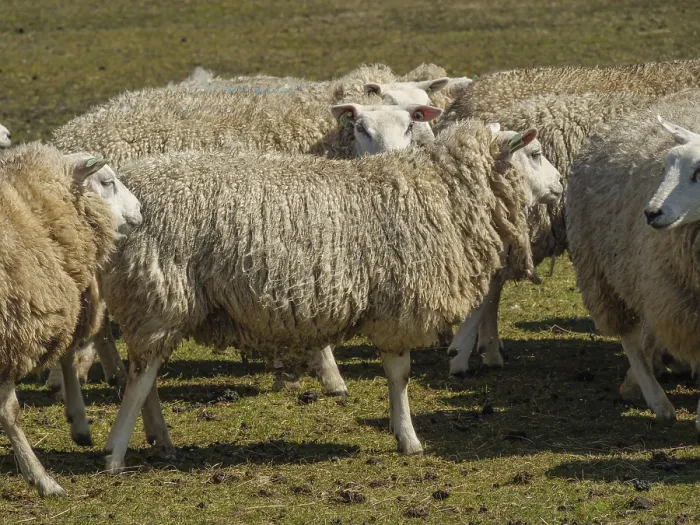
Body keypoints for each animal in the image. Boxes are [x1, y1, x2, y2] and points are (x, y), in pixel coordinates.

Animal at [95, 118, 561, 470]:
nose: (559, 184)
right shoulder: (398, 305)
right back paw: (115, 453)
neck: (442, 192)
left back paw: (160, 439)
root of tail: (130, 193)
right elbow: (400, 375)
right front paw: (408, 438)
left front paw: (401, 432)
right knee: (141, 377)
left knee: (147, 373)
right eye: (535, 153)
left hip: (152, 303)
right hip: (160, 293)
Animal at [566, 89, 700, 429]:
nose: (651, 213)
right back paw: (656, 400)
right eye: (666, 166)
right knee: (630, 339)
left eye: (699, 171)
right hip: (603, 273)